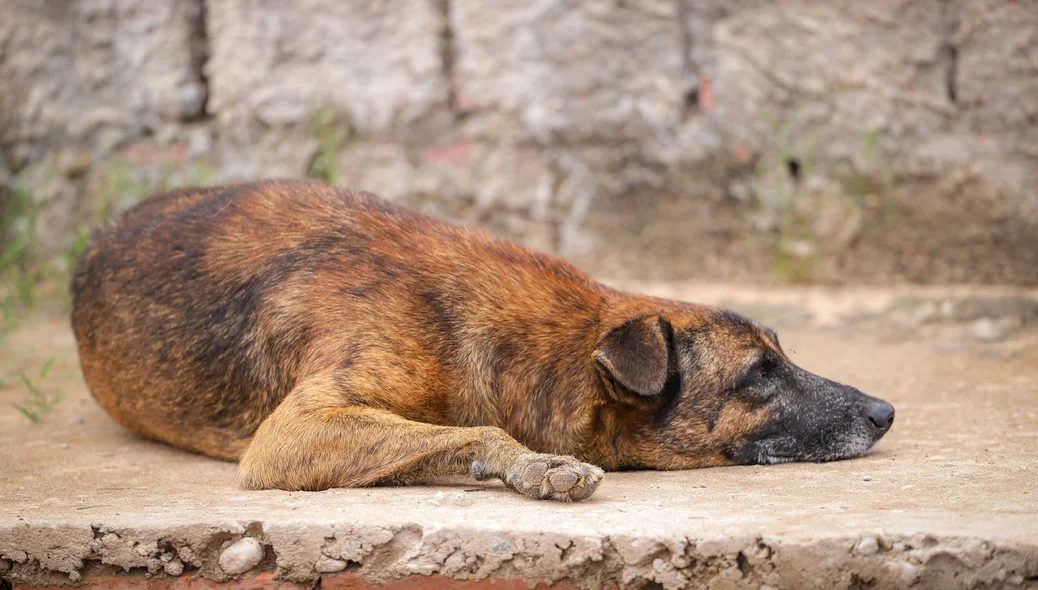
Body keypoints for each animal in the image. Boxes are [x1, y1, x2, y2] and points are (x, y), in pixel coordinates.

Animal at [73, 177, 896, 500]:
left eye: (783, 355)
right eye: (758, 373)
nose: (887, 412)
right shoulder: (291, 435)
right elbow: (477, 431)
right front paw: (535, 465)